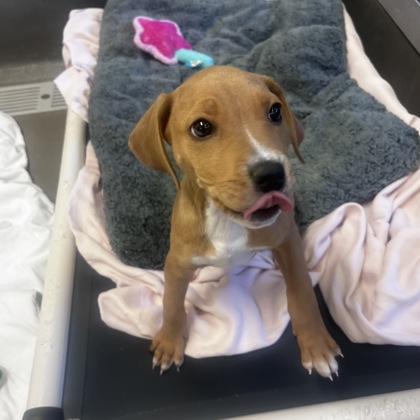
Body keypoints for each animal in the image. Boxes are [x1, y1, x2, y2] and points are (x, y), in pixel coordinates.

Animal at [129, 66, 341, 379]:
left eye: (275, 111)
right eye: (201, 127)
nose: (272, 174)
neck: (226, 221)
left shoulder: (288, 240)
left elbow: (302, 290)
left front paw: (316, 346)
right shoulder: (176, 263)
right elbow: (171, 303)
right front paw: (168, 341)